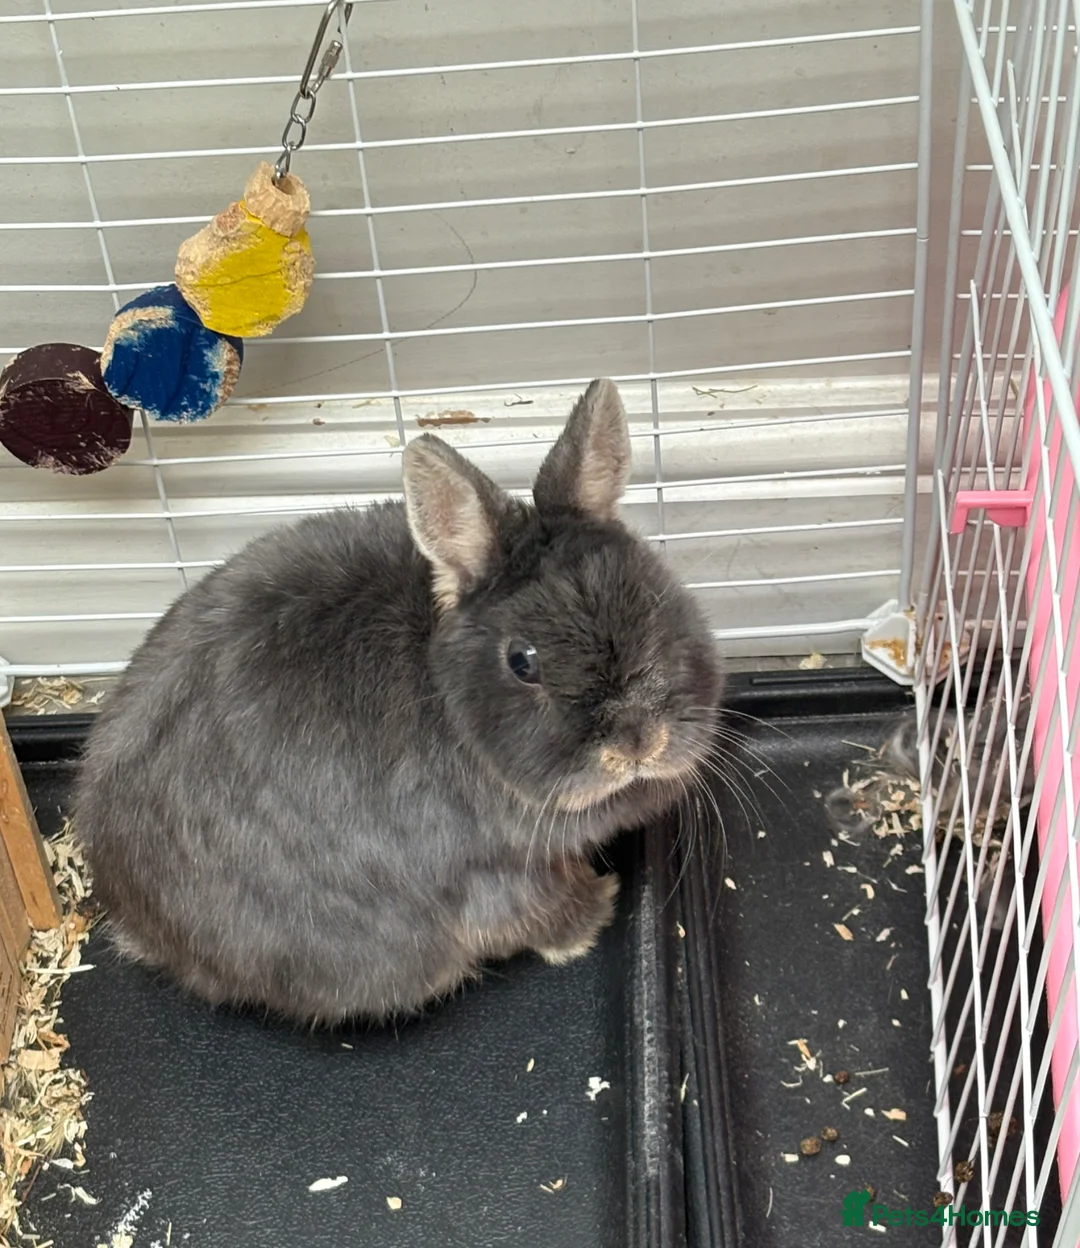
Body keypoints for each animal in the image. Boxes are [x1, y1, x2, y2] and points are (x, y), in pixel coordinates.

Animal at [74, 379, 723, 1024]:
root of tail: (131, 913)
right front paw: (596, 911)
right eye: (523, 661)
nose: (638, 740)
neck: (447, 692)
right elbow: (540, 913)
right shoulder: (493, 873)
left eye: (655, 601)